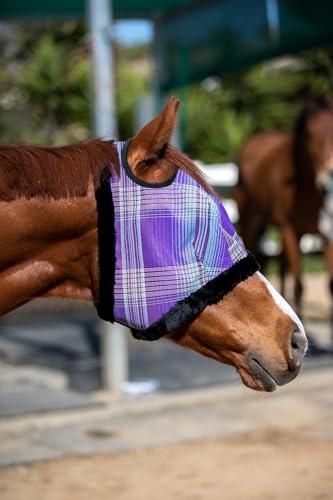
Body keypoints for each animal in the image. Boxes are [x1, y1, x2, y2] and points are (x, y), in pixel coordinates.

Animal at [235, 95, 332, 318]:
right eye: (309, 135)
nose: (327, 179)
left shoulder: (327, 235)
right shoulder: (290, 231)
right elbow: (299, 285)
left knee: (281, 265)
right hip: (253, 221)